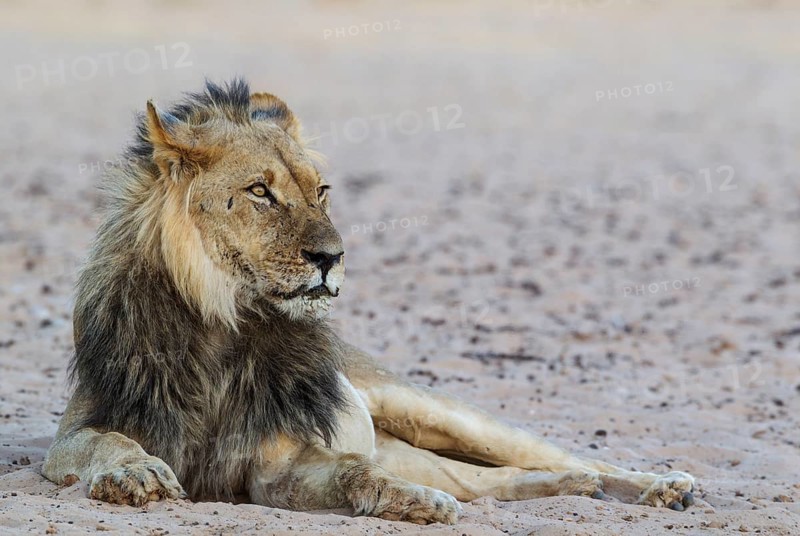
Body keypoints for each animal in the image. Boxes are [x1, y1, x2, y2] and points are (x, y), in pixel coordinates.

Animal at [42, 79, 695, 524]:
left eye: (321, 191)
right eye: (259, 192)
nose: (332, 258)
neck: (222, 322)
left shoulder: (278, 463)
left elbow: (358, 471)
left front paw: (416, 503)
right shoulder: (77, 431)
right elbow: (107, 441)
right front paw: (137, 473)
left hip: (433, 410)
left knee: (559, 456)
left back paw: (660, 486)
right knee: (501, 479)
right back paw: (579, 491)